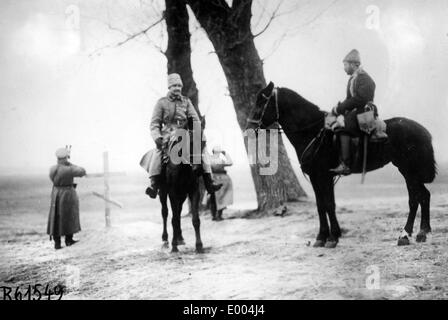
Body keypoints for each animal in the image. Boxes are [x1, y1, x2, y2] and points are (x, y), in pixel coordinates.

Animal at [158, 119, 203, 254]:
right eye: (189, 143)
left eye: (202, 143)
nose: (198, 169)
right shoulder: (172, 193)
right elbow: (174, 219)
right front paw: (174, 246)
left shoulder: (194, 191)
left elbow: (195, 219)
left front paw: (199, 245)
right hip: (163, 193)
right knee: (165, 212)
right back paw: (165, 240)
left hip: (182, 196)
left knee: (178, 211)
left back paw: (179, 237)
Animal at [247, 82, 436, 248]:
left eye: (262, 102)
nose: (249, 128)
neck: (314, 133)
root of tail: (423, 130)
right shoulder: (316, 178)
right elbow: (321, 206)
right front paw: (322, 237)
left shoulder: (324, 176)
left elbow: (329, 205)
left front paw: (332, 238)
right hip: (407, 171)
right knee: (422, 196)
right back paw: (419, 233)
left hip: (409, 170)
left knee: (416, 198)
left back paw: (409, 234)